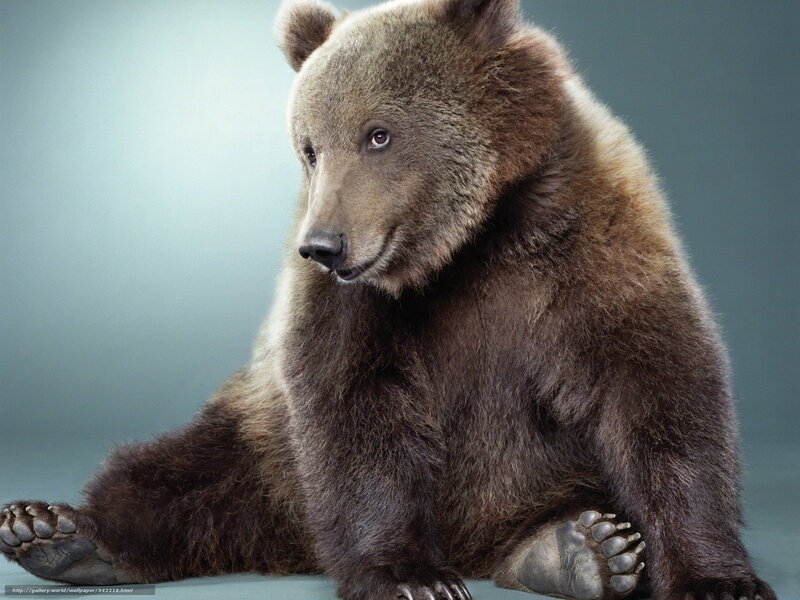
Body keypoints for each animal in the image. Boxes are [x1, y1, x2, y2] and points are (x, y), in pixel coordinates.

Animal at [0, 0, 776, 599]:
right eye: (309, 146)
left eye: (378, 134)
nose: (324, 245)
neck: (471, 241)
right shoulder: (349, 305)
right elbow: (352, 401)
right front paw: (410, 574)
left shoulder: (587, 237)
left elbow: (654, 383)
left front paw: (717, 578)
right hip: (263, 446)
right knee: (179, 475)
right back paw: (58, 533)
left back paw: (581, 548)